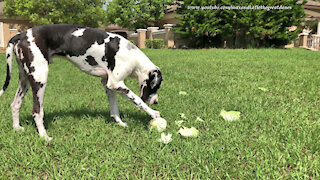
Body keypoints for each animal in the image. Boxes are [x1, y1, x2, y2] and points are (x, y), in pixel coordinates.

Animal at [0, 23, 162, 141]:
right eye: (156, 87)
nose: (155, 102)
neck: (131, 53)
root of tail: (20, 35)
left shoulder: (108, 85)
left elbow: (114, 109)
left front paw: (120, 124)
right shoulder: (117, 84)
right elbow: (138, 101)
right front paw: (154, 114)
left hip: (25, 79)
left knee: (15, 104)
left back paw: (17, 128)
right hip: (40, 79)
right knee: (37, 111)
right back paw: (44, 137)